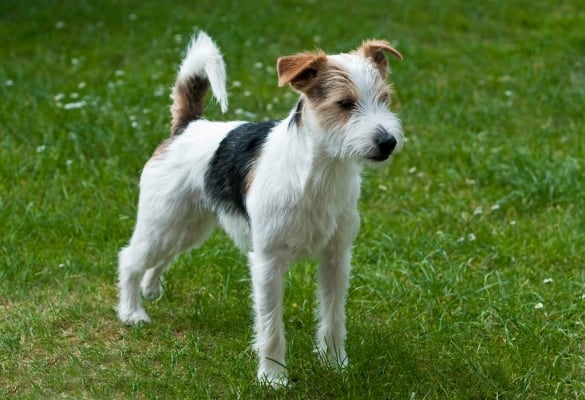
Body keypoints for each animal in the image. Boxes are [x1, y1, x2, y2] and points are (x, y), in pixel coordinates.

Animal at [116, 32, 404, 388]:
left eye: (385, 98)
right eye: (345, 104)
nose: (388, 142)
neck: (318, 174)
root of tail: (187, 127)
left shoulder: (336, 258)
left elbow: (333, 317)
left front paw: (336, 364)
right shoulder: (268, 263)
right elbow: (270, 328)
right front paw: (273, 378)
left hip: (188, 229)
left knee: (160, 259)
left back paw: (151, 289)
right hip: (161, 223)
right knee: (130, 259)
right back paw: (132, 312)